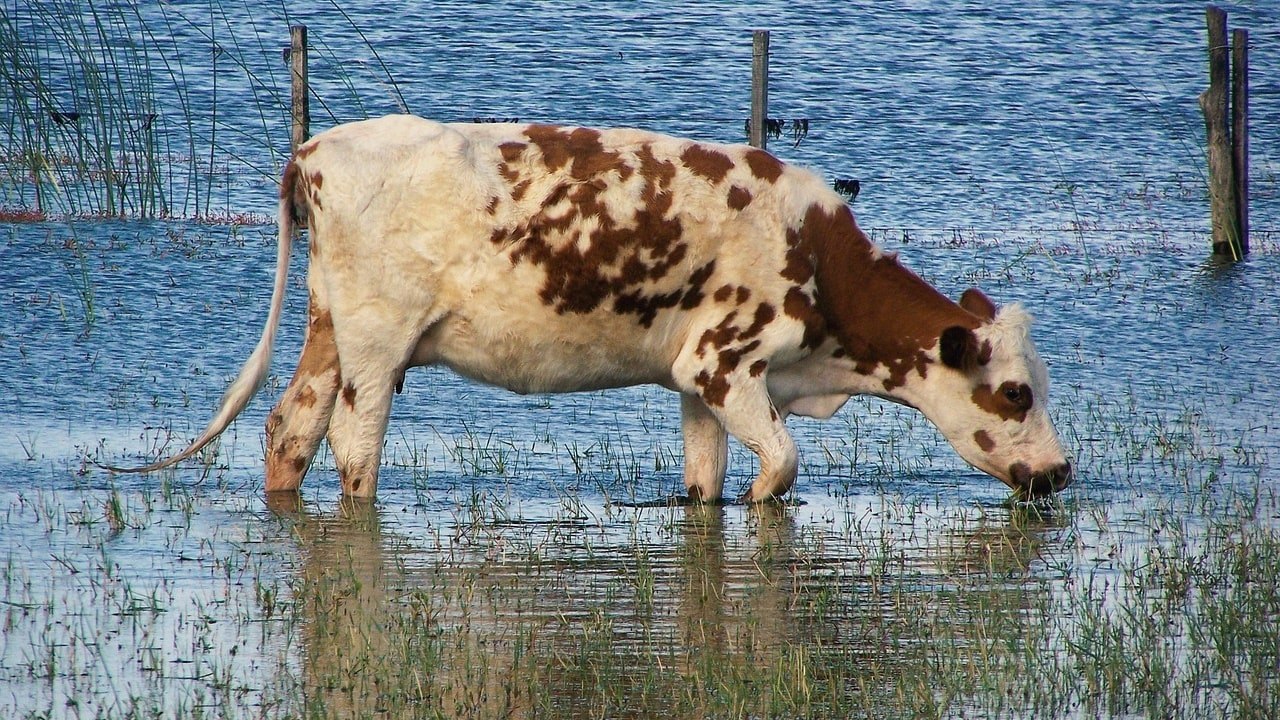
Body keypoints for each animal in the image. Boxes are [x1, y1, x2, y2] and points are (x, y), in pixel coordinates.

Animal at [112, 116, 1070, 499]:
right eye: (1015, 392)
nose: (1060, 473)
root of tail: (315, 148)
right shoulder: (725, 364)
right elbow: (782, 469)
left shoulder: (694, 383)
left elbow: (705, 482)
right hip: (378, 346)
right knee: (352, 446)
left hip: (329, 331)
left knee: (291, 427)